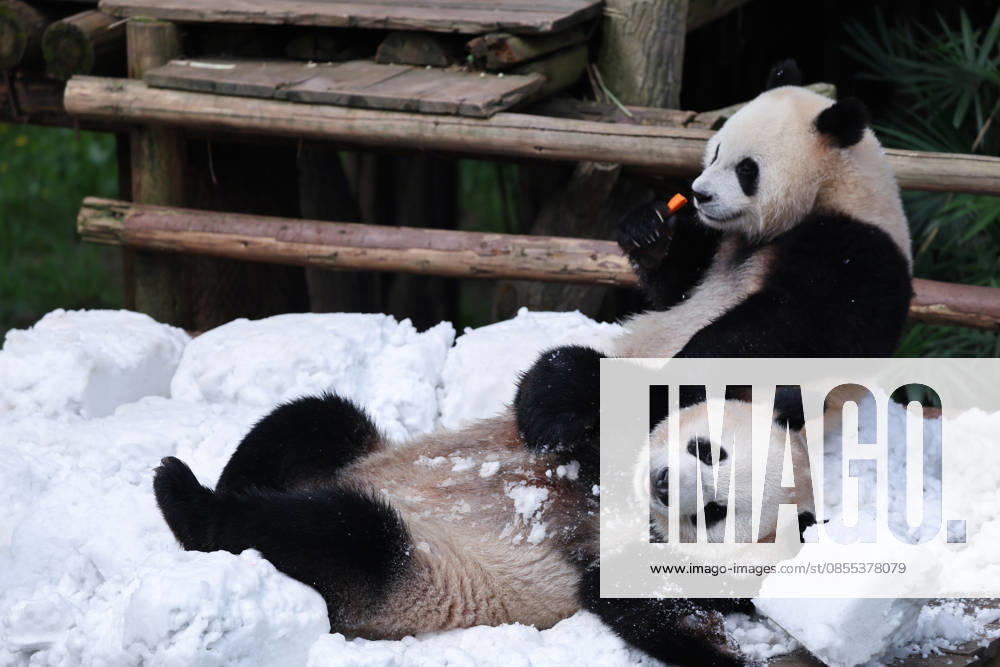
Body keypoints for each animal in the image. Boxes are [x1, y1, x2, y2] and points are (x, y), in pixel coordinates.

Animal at [153, 60, 912, 667]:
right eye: (720, 147)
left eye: (716, 509)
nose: (698, 194)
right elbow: (652, 307)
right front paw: (648, 234)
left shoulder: (853, 260)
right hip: (355, 448)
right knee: (311, 420)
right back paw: (219, 479)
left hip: (409, 574)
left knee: (341, 536)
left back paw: (193, 504)